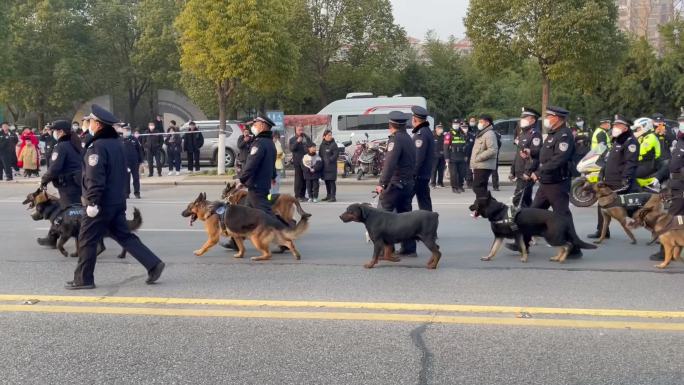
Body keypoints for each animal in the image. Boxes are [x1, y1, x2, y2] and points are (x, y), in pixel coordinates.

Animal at [182, 192, 310, 260]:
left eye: (188, 207)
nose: (181, 213)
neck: (209, 209)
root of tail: (270, 218)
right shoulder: (237, 236)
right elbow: (241, 247)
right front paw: (240, 255)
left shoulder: (213, 238)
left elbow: (205, 246)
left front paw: (199, 252)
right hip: (273, 237)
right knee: (288, 242)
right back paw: (296, 254)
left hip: (256, 239)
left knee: (268, 254)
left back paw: (258, 258)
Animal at [468, 194, 596, 262]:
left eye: (475, 203)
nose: (469, 207)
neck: (498, 212)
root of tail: (563, 218)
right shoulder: (499, 237)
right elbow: (493, 249)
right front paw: (488, 257)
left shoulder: (518, 235)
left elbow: (523, 247)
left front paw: (524, 258)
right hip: (553, 237)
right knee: (562, 247)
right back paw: (557, 257)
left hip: (552, 237)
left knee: (568, 245)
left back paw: (562, 258)